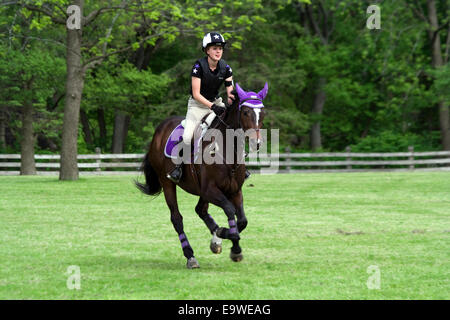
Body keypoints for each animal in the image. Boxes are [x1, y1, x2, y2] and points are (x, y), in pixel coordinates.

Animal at [134, 82, 268, 268]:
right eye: (246, 112)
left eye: (262, 113)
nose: (257, 143)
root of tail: (159, 130)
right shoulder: (210, 190)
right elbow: (230, 211)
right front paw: (231, 243)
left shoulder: (234, 190)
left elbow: (241, 220)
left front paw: (222, 240)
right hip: (168, 183)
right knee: (177, 218)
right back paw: (190, 256)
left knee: (200, 210)